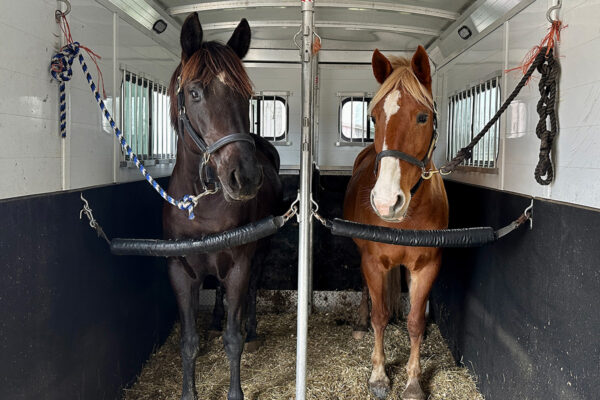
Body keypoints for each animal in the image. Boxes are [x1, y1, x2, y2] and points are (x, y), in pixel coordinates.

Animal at [163, 12, 282, 400]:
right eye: (194, 92)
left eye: (247, 95)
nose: (244, 177)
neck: (201, 206)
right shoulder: (180, 271)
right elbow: (188, 342)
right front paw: (189, 392)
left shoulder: (240, 265)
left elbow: (233, 339)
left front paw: (235, 392)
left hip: (259, 252)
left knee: (252, 291)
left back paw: (252, 326)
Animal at [344, 46, 448, 396]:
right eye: (373, 118)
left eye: (423, 117)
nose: (386, 202)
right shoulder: (373, 262)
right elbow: (380, 315)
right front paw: (378, 375)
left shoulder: (427, 265)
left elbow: (415, 320)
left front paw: (414, 381)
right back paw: (360, 323)